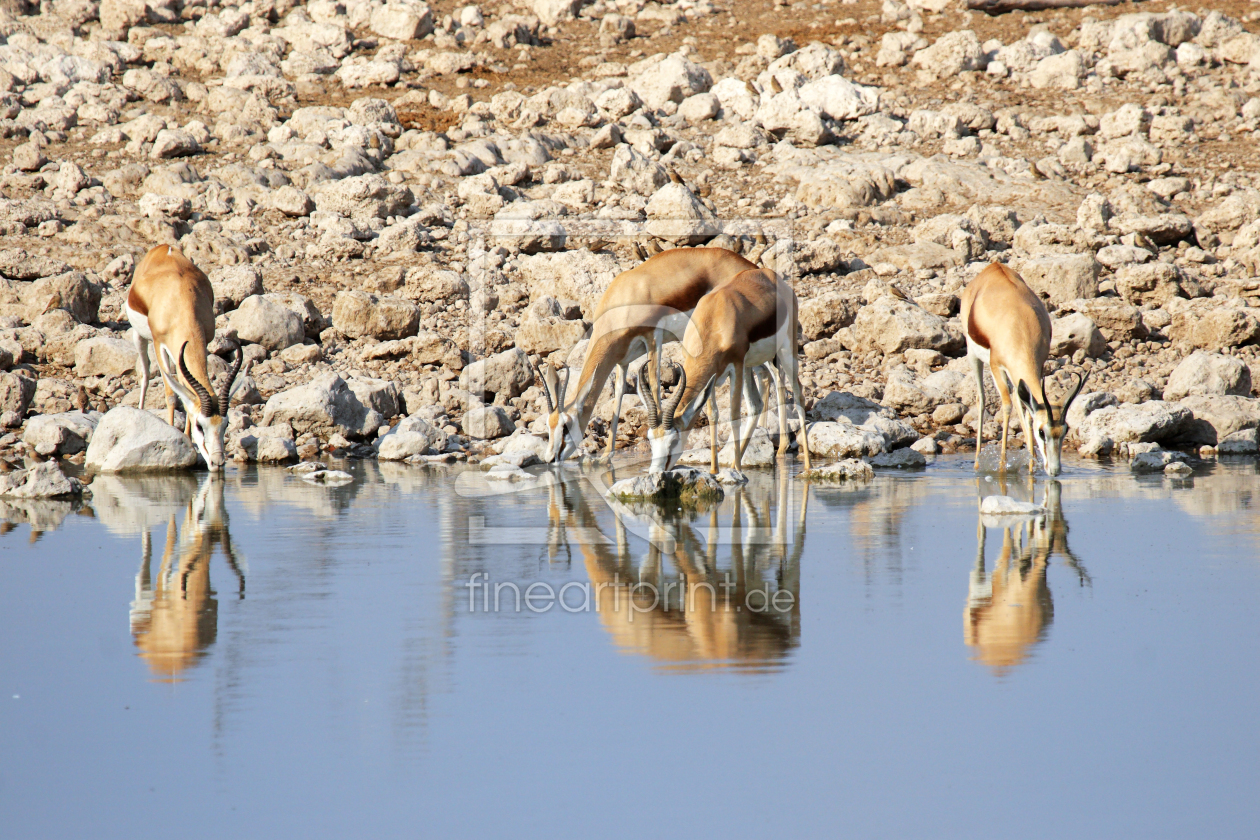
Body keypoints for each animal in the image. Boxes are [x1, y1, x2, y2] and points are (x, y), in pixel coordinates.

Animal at [126, 246, 244, 473]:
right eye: (201, 426)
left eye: (226, 424)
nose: (217, 463)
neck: (181, 300)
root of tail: (164, 248)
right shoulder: (159, 344)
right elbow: (172, 395)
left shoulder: (199, 344)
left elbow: (187, 397)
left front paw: (187, 439)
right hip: (139, 336)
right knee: (145, 374)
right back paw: (140, 412)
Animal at [534, 243, 756, 465]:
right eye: (548, 425)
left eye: (565, 426)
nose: (550, 458)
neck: (623, 300)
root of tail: (747, 265)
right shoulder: (622, 360)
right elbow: (618, 395)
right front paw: (606, 456)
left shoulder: (653, 337)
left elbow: (655, 386)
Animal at [635, 268, 811, 473]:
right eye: (650, 439)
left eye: (674, 439)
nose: (655, 472)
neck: (714, 319)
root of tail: (769, 274)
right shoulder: (712, 376)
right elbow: (713, 415)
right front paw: (714, 471)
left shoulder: (736, 366)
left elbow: (734, 416)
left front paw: (737, 473)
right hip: (753, 364)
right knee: (757, 403)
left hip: (785, 352)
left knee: (798, 395)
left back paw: (806, 467)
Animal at [962, 263, 1083, 476]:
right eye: (1042, 432)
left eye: (1064, 431)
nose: (1055, 470)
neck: (1020, 326)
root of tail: (993, 266)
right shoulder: (997, 367)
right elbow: (1007, 406)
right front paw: (1002, 466)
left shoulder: (1037, 367)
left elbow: (1027, 412)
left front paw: (1031, 468)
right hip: (973, 356)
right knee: (981, 399)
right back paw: (976, 463)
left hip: (1015, 376)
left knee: (1019, 402)